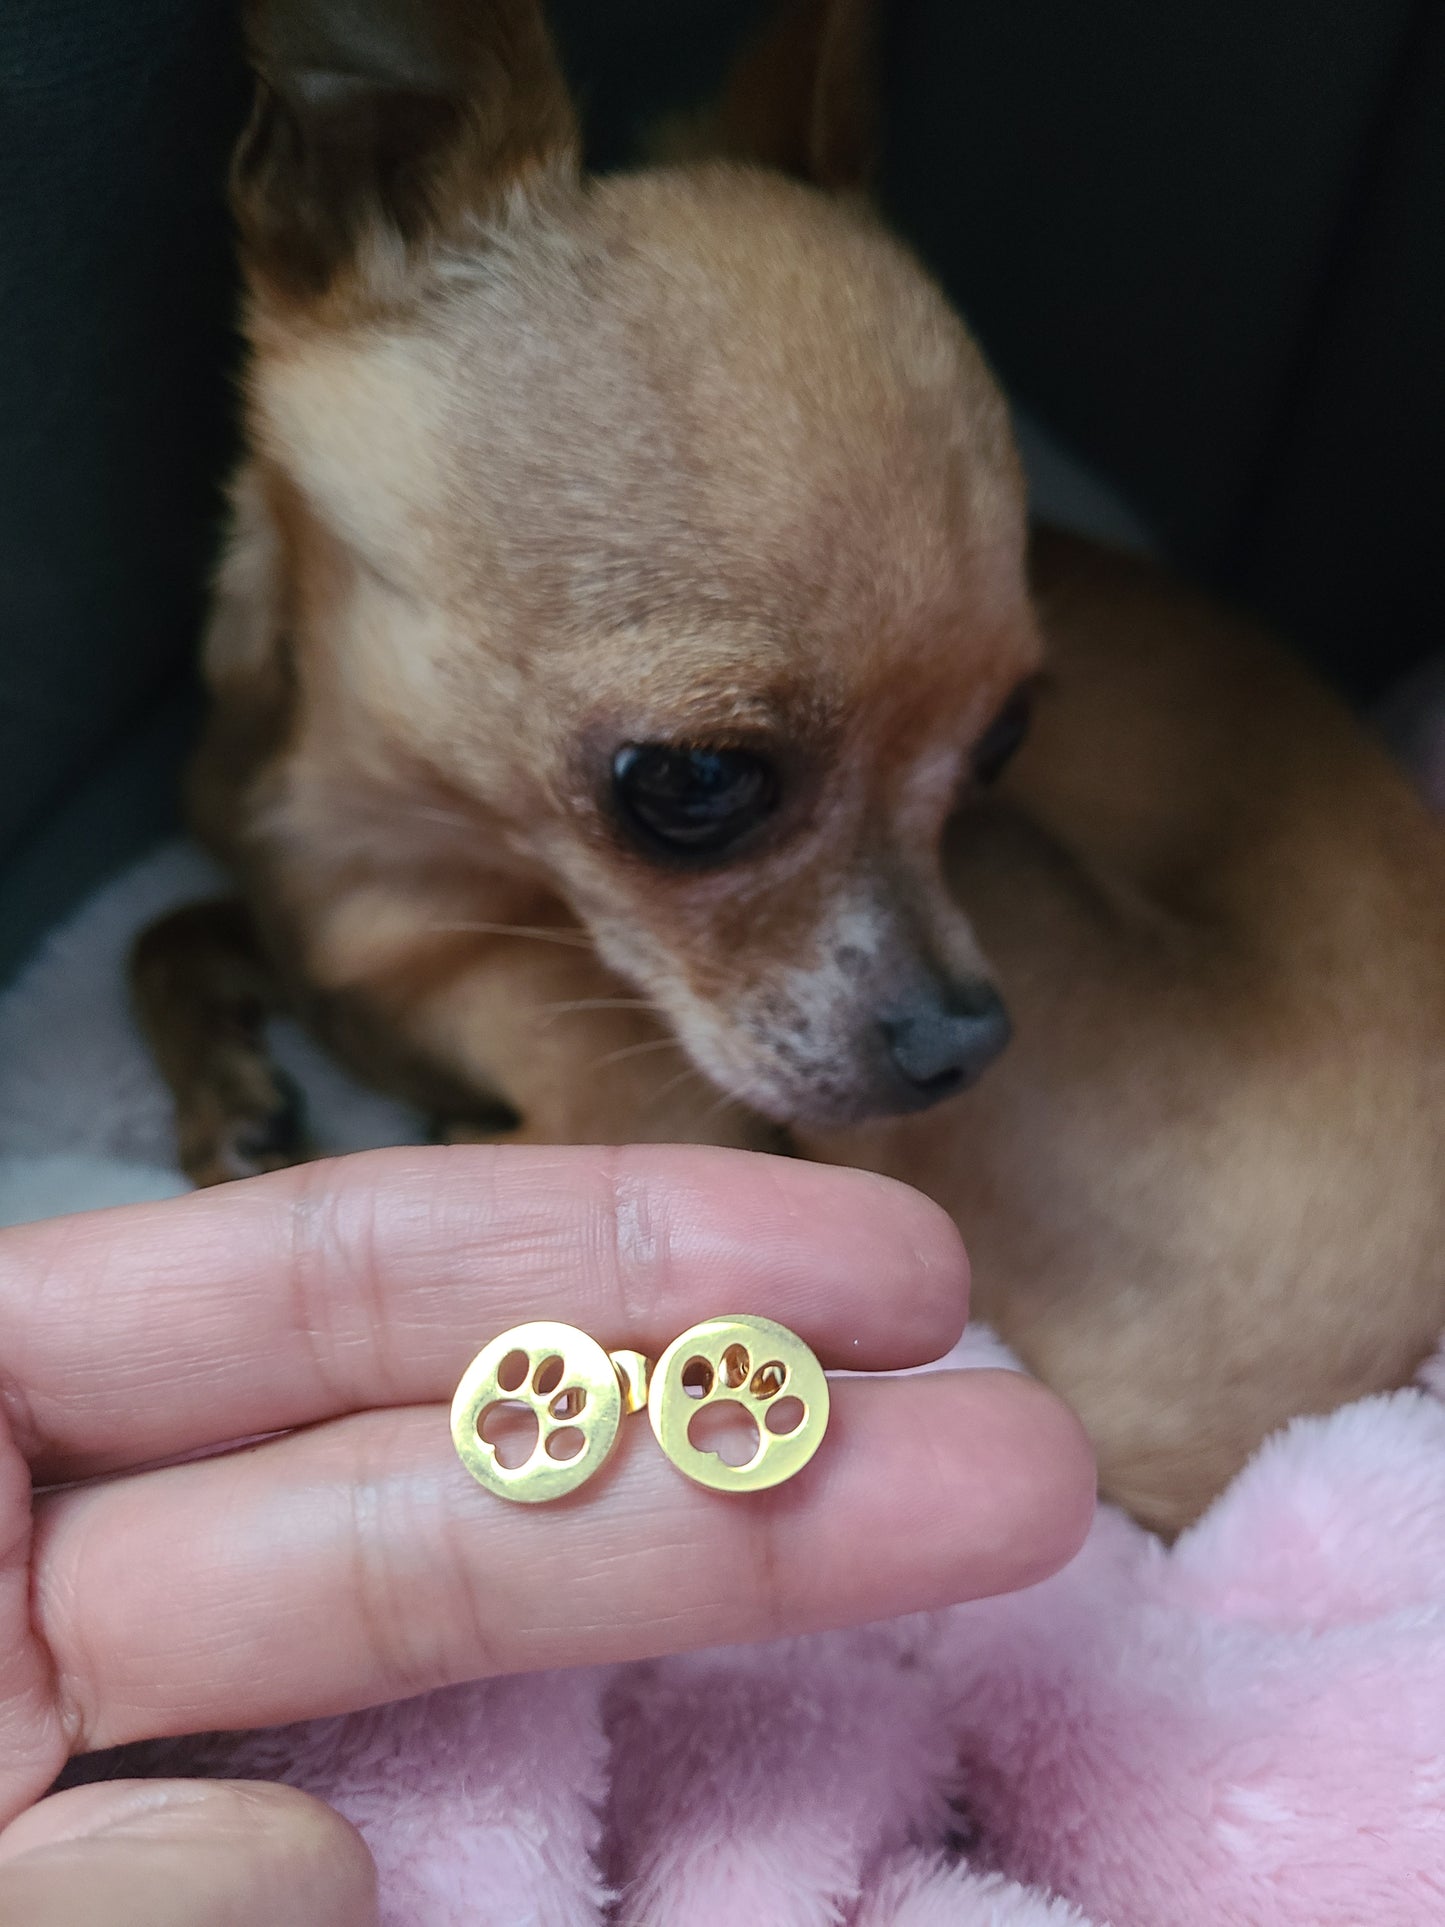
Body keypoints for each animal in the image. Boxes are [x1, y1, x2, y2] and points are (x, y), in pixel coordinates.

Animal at [132, 0, 1445, 1533]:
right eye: (697, 783)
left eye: (1004, 738)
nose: (965, 1042)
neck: (388, 848)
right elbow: (171, 929)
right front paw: (225, 1085)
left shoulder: (631, 1124)